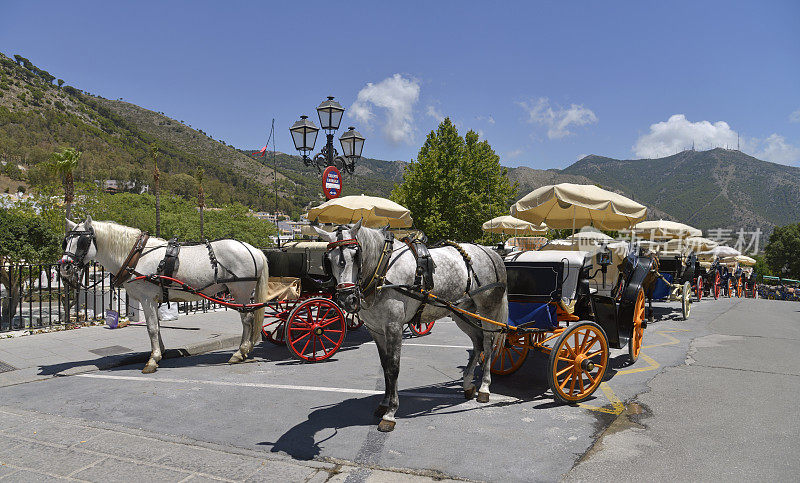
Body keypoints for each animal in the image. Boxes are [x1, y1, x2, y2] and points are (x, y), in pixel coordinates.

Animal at [61, 218, 268, 374]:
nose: (65, 267)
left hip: (240, 291)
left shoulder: (147, 298)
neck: (136, 256)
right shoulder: (153, 300)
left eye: (82, 242)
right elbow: (157, 327)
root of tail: (254, 250)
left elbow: (151, 328)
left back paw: (241, 352)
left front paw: (152, 360)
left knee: (247, 319)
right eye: (66, 241)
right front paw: (160, 352)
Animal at [316, 221, 510, 432]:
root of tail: (490, 253)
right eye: (329, 259)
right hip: (462, 313)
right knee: (478, 343)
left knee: (489, 345)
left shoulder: (393, 327)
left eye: (356, 255)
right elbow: (385, 366)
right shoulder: (376, 330)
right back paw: (467, 384)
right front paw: (384, 403)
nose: (347, 299)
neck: (382, 269)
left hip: (488, 310)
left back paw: (484, 387)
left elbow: (393, 368)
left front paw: (390, 412)